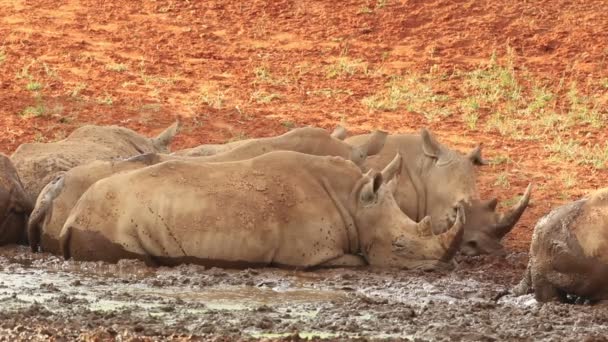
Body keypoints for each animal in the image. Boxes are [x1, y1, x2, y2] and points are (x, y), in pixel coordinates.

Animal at [59, 152, 464, 270]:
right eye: (399, 247)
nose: (441, 267)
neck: (354, 200)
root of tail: (70, 215)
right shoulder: (313, 256)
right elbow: (357, 260)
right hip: (110, 218)